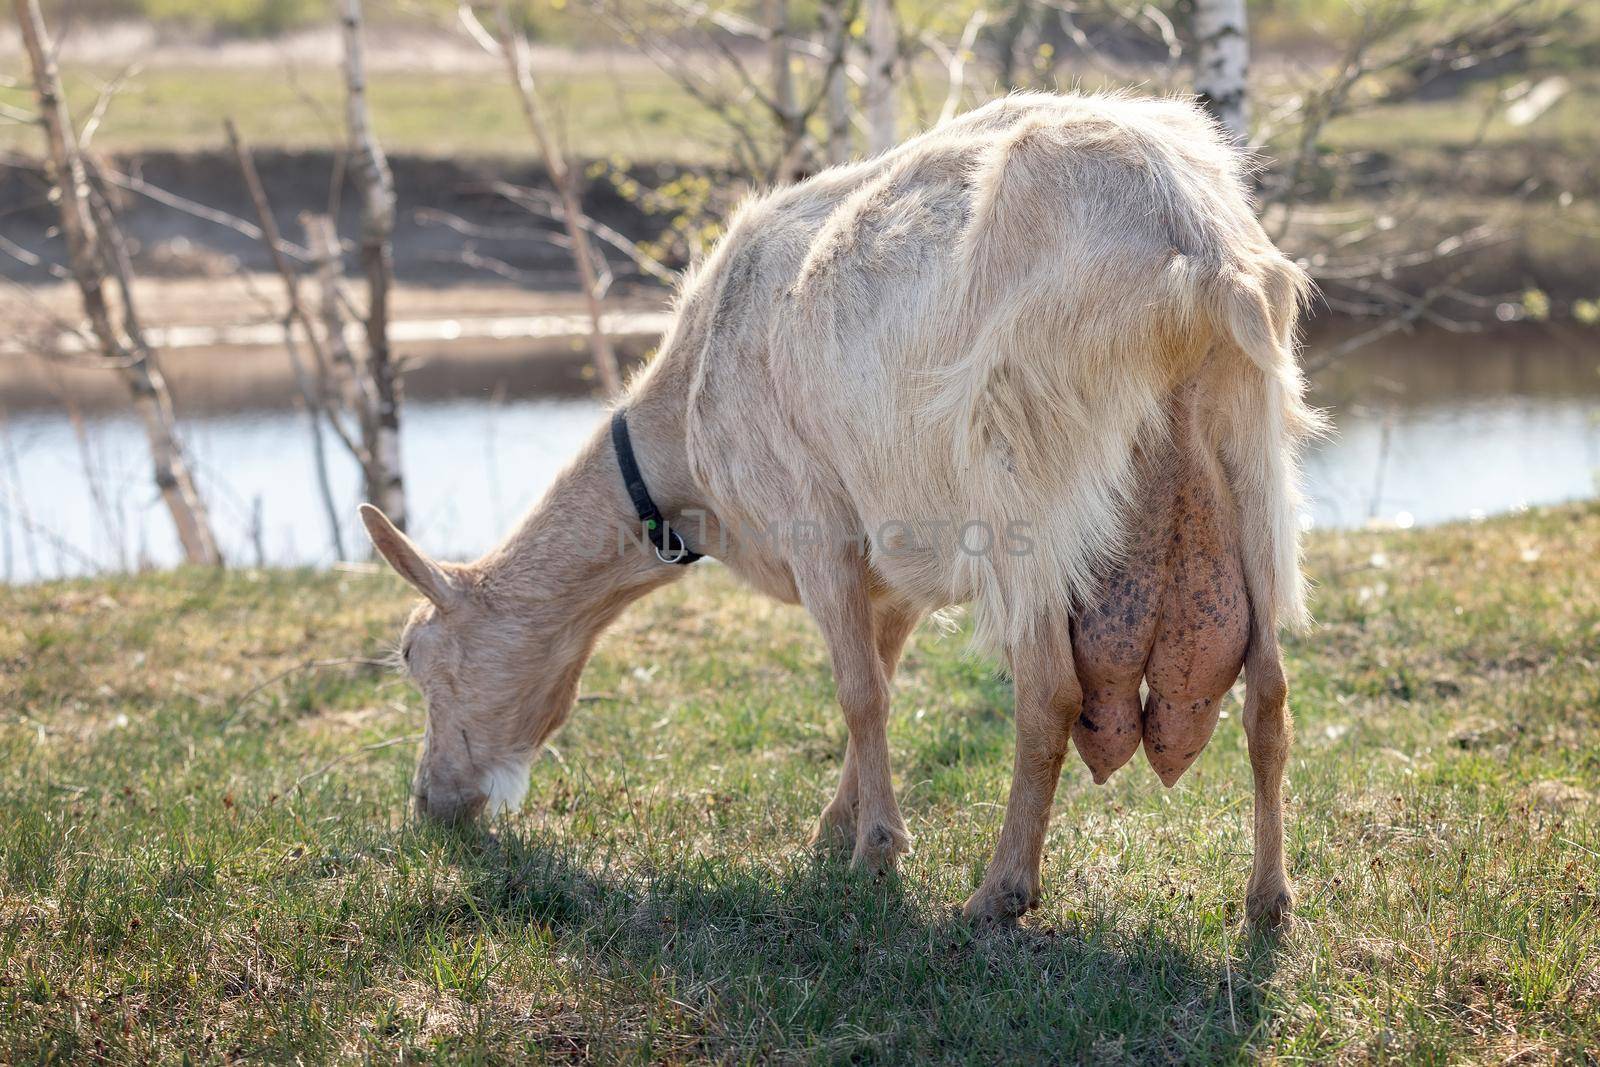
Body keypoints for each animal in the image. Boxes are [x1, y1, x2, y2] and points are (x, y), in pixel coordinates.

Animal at [368, 91, 1318, 927]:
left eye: (415, 654)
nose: (431, 802)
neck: (685, 432)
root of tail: (1197, 250)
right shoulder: (892, 555)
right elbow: (884, 678)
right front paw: (836, 829)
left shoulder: (814, 524)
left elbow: (860, 693)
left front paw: (876, 851)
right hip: (1253, 448)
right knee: (1271, 692)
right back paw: (1268, 902)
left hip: (1025, 469)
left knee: (1048, 689)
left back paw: (1000, 892)